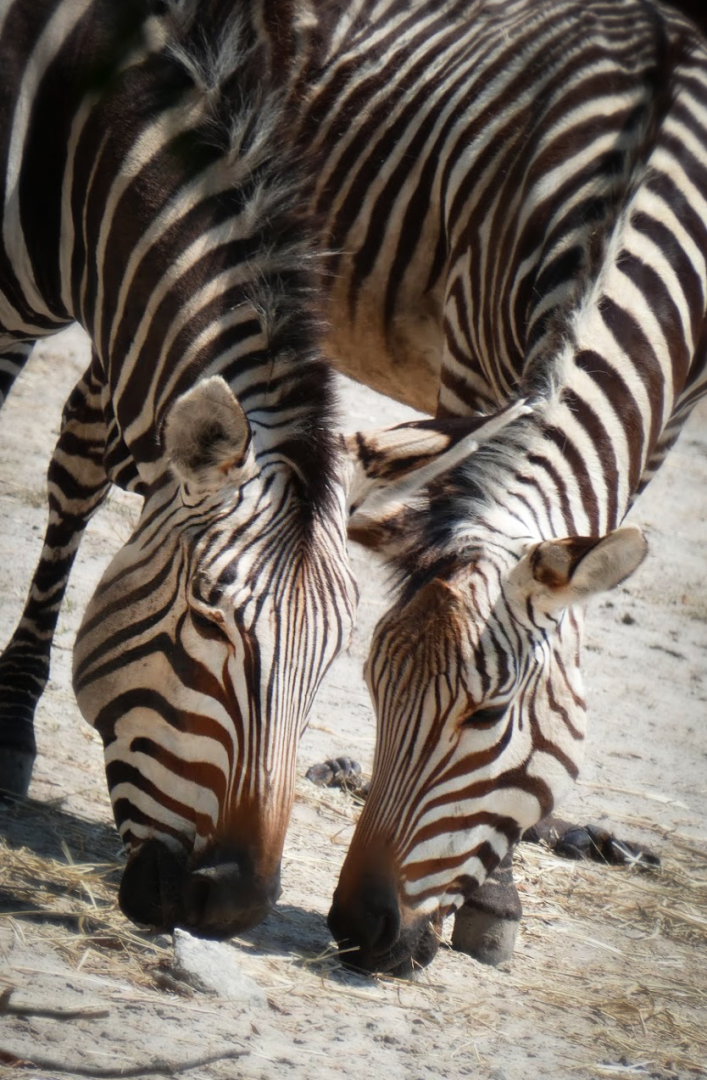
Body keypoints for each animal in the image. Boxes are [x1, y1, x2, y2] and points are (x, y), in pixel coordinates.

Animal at [282, 0, 707, 975]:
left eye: (489, 717)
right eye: (373, 689)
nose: (357, 932)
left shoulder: (664, 414)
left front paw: (494, 899)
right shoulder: (471, 372)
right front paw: (492, 898)